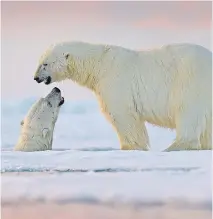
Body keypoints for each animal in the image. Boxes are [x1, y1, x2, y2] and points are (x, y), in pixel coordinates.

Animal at [33, 41, 211, 151]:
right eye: (40, 62)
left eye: (45, 64)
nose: (36, 78)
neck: (98, 65)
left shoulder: (115, 83)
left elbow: (122, 115)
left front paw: (130, 147)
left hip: (190, 82)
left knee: (187, 112)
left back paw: (174, 146)